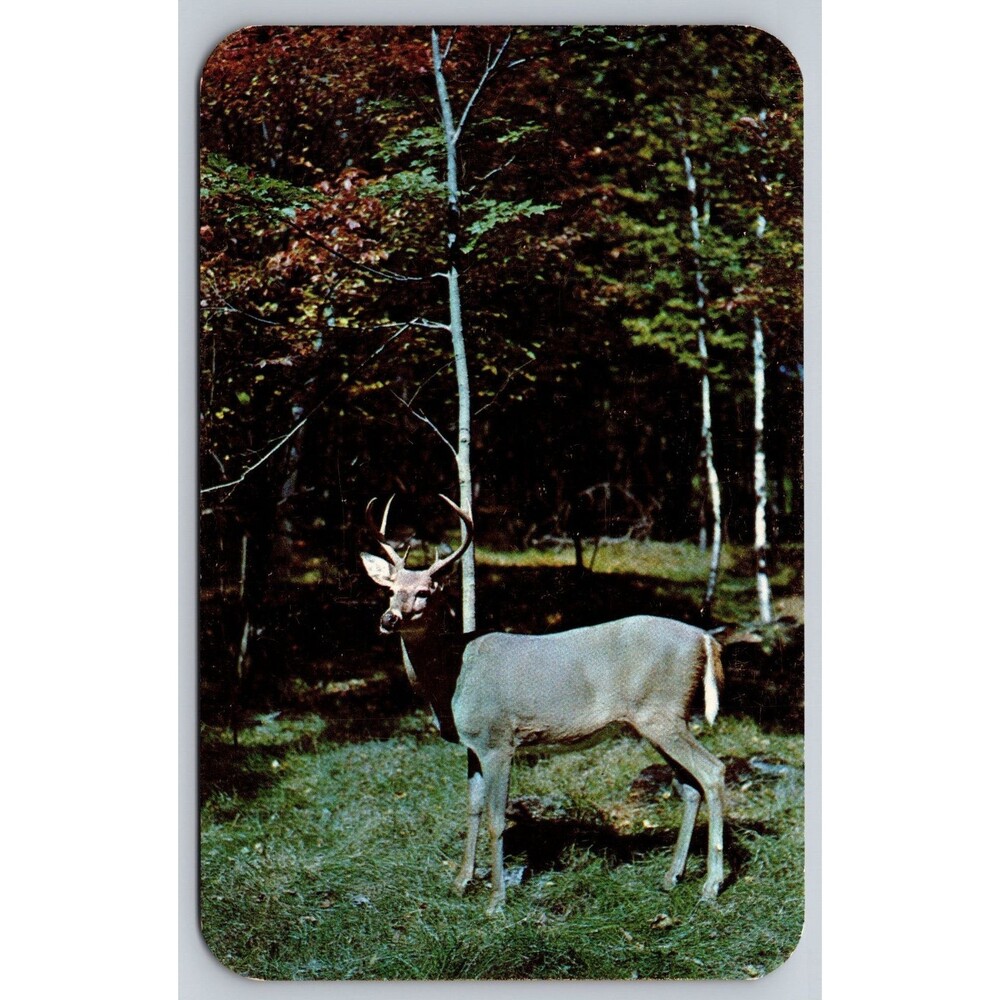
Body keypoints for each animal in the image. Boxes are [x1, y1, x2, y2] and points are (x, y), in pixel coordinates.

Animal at [361, 495, 726, 914]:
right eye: (390, 589)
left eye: (425, 592)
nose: (389, 619)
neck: (452, 675)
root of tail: (705, 638)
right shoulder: (472, 744)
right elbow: (471, 808)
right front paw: (460, 882)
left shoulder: (499, 739)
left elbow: (496, 818)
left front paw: (496, 902)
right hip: (655, 721)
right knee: (690, 785)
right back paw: (671, 877)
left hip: (662, 712)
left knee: (713, 772)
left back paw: (711, 885)